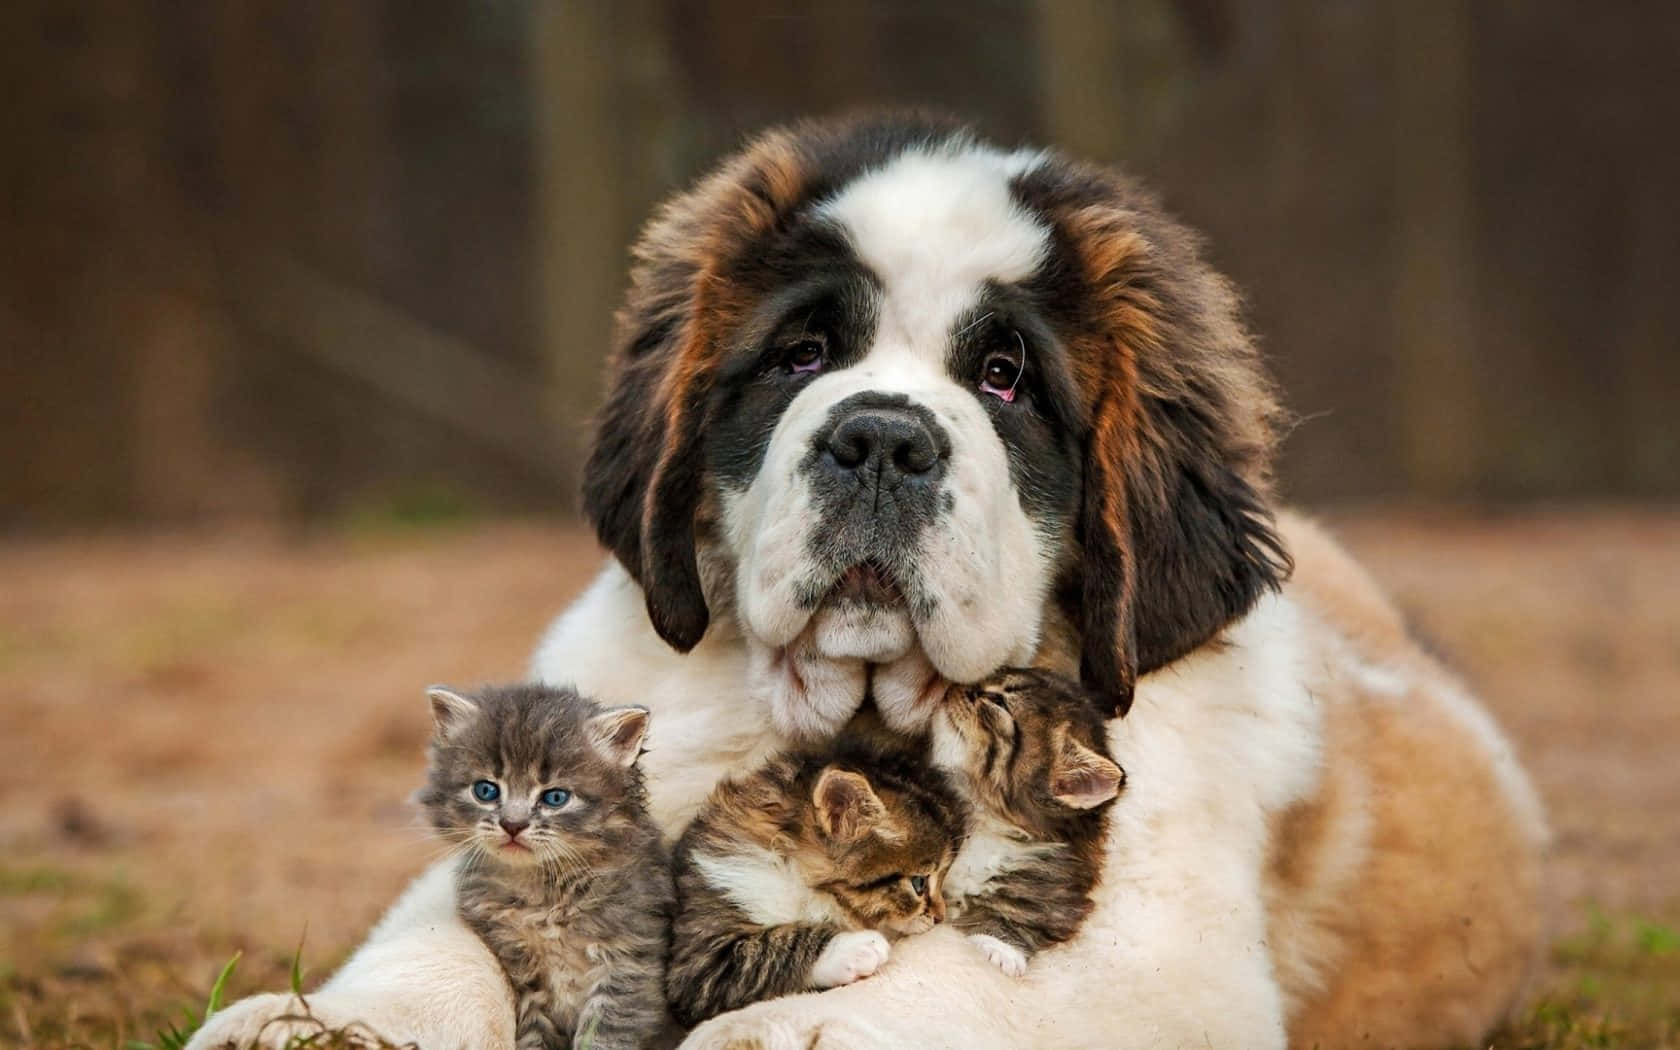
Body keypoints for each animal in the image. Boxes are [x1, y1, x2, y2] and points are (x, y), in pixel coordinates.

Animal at [416, 678, 672, 1048]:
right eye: (485, 791)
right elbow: (533, 1035)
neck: (542, 890)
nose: (512, 824)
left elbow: (603, 1035)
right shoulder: (523, 973)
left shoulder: (629, 962)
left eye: (555, 797)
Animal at [661, 715, 967, 1028]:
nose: (939, 917)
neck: (792, 876)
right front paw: (854, 948)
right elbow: (772, 947)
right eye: (919, 883)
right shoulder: (700, 963)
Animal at [934, 668, 1128, 981]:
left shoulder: (1053, 890)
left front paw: (1000, 949)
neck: (985, 822)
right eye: (994, 675)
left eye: (998, 702)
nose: (955, 687)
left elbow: (1019, 916)